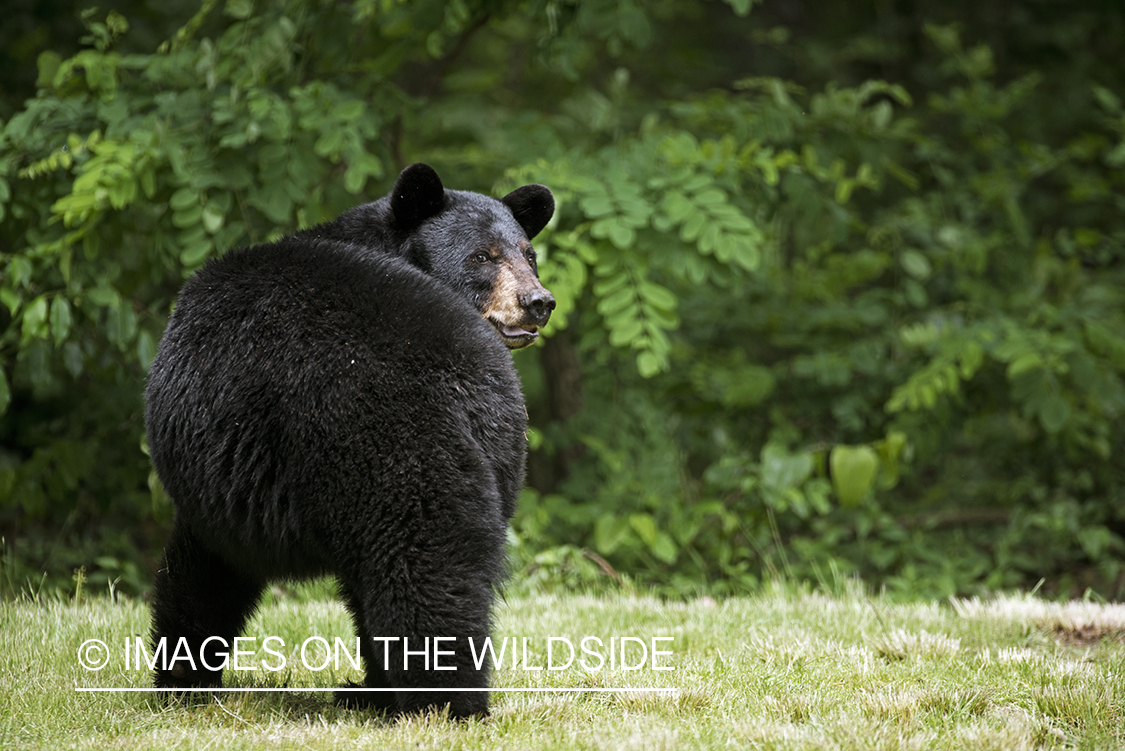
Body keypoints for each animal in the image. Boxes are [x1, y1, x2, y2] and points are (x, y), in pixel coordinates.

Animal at [145, 163, 558, 715]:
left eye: (528, 254)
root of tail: (466, 382)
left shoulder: (223, 476)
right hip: (495, 453)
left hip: (392, 451)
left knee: (423, 570)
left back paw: (438, 701)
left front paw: (180, 679)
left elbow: (207, 566)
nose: (538, 302)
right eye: (482, 256)